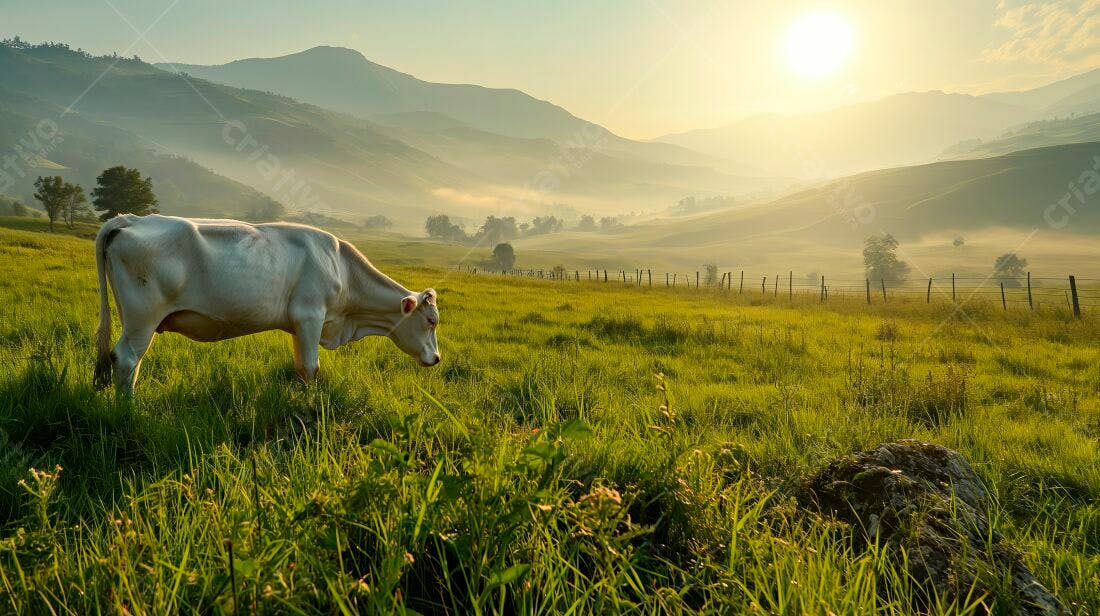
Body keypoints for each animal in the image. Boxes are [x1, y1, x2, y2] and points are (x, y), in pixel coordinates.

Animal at [93, 214, 440, 396]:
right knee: (126, 359)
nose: (436, 358)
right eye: (432, 321)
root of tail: (131, 219)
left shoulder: (300, 324)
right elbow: (312, 367)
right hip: (142, 317)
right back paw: (129, 411)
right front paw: (311, 405)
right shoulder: (311, 315)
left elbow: (301, 366)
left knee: (130, 363)